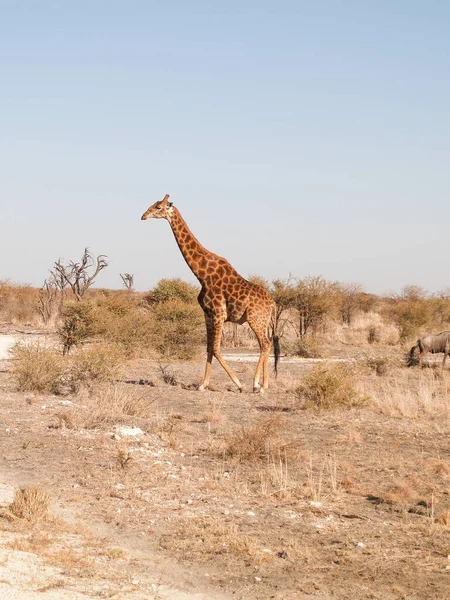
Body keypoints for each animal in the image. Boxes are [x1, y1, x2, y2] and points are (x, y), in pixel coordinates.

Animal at [142, 196, 280, 394]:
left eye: (158, 207)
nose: (143, 216)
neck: (202, 274)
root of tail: (272, 303)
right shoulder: (207, 313)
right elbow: (208, 348)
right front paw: (202, 384)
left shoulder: (219, 312)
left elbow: (215, 348)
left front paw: (238, 383)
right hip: (264, 321)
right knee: (266, 344)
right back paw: (263, 385)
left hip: (256, 319)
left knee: (265, 344)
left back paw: (257, 385)